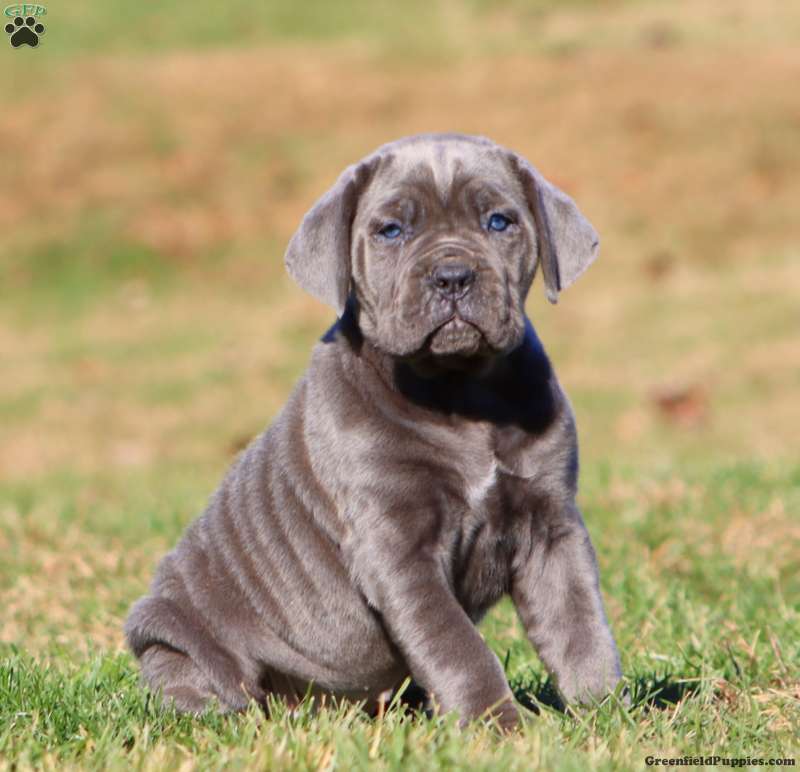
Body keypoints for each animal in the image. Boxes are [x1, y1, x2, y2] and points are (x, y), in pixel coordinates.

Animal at [125, 133, 622, 730]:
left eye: (499, 222)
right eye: (391, 230)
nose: (452, 276)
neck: (461, 392)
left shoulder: (551, 524)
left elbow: (579, 622)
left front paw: (602, 712)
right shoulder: (396, 548)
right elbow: (456, 645)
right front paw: (496, 725)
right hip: (171, 637)